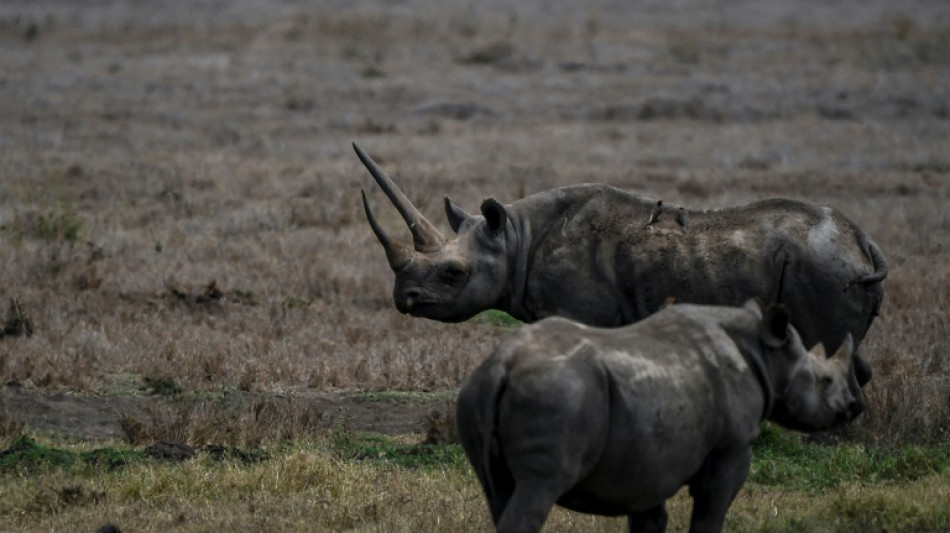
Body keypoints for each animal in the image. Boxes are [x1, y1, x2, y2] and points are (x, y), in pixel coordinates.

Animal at [356, 143, 884, 388]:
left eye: (454, 274)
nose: (404, 299)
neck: (513, 239)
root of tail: (860, 241)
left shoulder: (580, 313)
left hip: (822, 266)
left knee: (824, 345)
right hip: (831, 263)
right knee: (847, 348)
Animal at [458, 302, 868, 528]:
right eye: (824, 380)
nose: (853, 407)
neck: (763, 352)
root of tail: (501, 367)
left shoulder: (649, 456)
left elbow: (651, 519)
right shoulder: (732, 447)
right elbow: (710, 512)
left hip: (476, 396)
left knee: (499, 494)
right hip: (558, 395)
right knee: (537, 489)